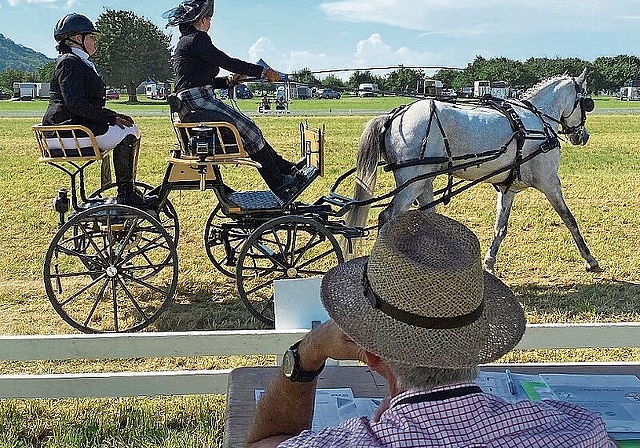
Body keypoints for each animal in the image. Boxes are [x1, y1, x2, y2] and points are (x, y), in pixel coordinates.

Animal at [344, 68, 600, 272]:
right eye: (587, 103)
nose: (583, 136)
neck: (537, 123)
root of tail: (395, 116)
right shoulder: (549, 181)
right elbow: (569, 218)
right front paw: (590, 259)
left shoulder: (508, 189)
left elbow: (500, 228)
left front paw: (489, 262)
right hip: (412, 182)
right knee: (387, 217)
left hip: (424, 181)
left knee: (426, 217)